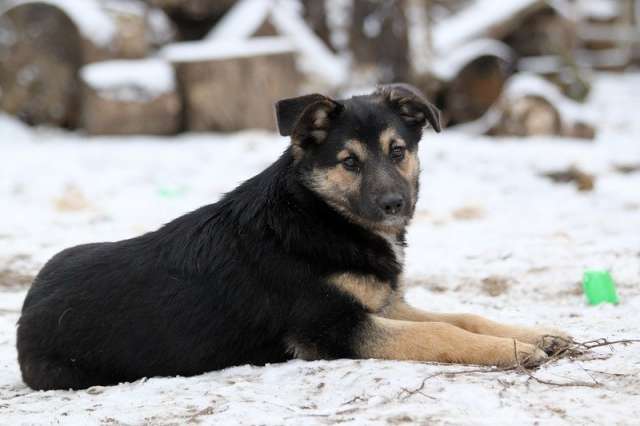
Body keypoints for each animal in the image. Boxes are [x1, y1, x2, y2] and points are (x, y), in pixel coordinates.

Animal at [17, 85, 572, 392]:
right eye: (348, 161)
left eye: (397, 151)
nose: (396, 205)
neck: (320, 215)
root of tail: (26, 306)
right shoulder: (332, 329)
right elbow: (441, 333)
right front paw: (515, 350)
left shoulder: (382, 303)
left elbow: (463, 316)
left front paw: (538, 334)